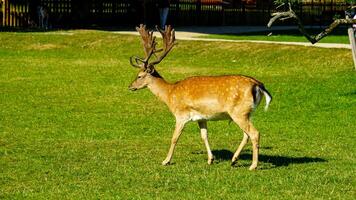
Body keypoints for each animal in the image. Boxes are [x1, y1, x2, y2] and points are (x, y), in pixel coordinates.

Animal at [129, 23, 272, 170]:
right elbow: (204, 136)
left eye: (139, 76)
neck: (170, 93)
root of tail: (258, 85)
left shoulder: (181, 115)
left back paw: (253, 165)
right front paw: (210, 159)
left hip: (239, 112)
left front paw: (166, 161)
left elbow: (174, 137)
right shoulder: (201, 117)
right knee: (246, 134)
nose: (130, 86)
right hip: (246, 112)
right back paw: (233, 160)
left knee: (254, 133)